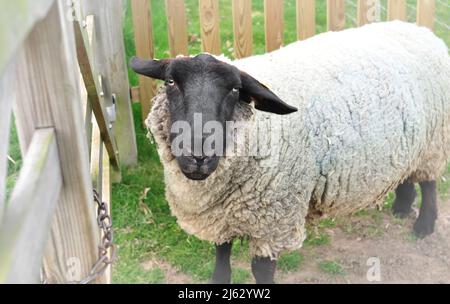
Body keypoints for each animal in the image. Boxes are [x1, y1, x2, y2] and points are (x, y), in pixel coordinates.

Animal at [132, 20, 450, 282]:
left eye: (234, 90)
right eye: (170, 81)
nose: (198, 156)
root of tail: (421, 30)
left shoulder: (274, 219)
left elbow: (261, 269)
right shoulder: (221, 213)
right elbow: (221, 253)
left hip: (434, 141)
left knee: (429, 182)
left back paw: (424, 224)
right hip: (409, 143)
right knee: (407, 173)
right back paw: (402, 207)